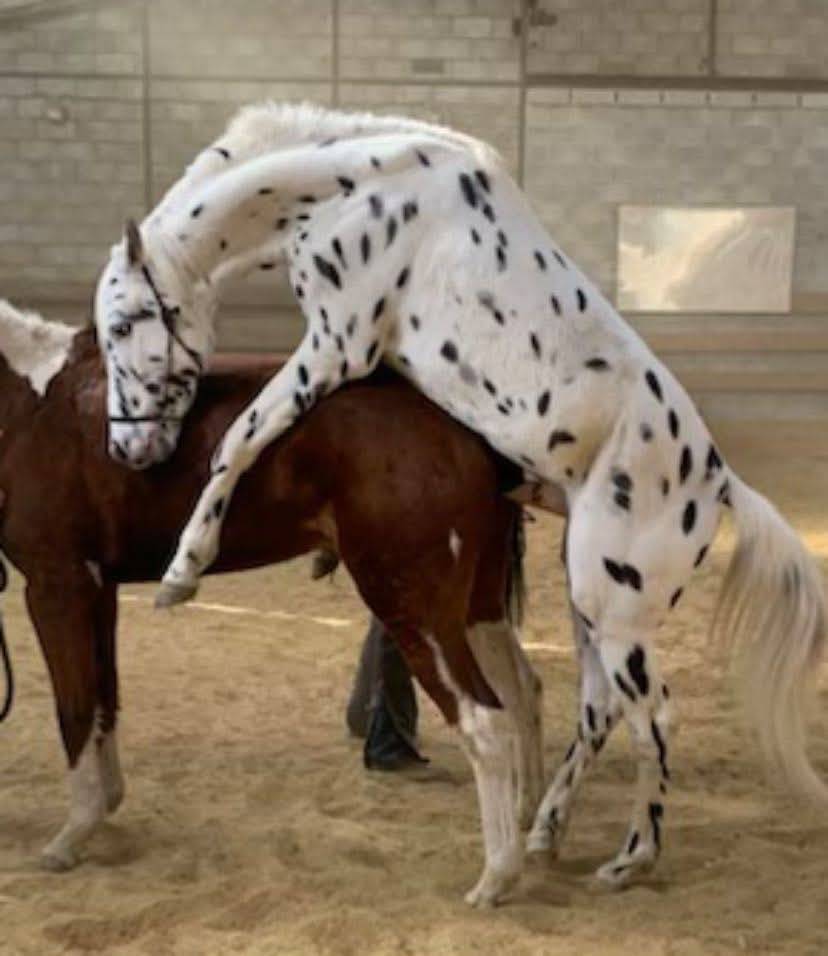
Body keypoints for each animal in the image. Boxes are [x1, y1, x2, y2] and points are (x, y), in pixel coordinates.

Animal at [0, 299, 548, 907]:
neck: (34, 408)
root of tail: (457, 424)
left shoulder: (56, 585)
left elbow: (72, 707)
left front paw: (70, 837)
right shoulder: (99, 589)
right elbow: (104, 698)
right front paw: (105, 805)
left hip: (416, 608)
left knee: (485, 722)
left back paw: (495, 877)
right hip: (476, 605)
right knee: (522, 691)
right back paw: (530, 820)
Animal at [92, 102, 827, 887]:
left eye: (124, 324)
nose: (127, 449)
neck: (354, 187)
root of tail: (717, 481)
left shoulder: (335, 345)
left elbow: (242, 437)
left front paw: (183, 569)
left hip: (617, 610)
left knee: (654, 718)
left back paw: (629, 859)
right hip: (589, 600)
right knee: (599, 709)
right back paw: (544, 833)